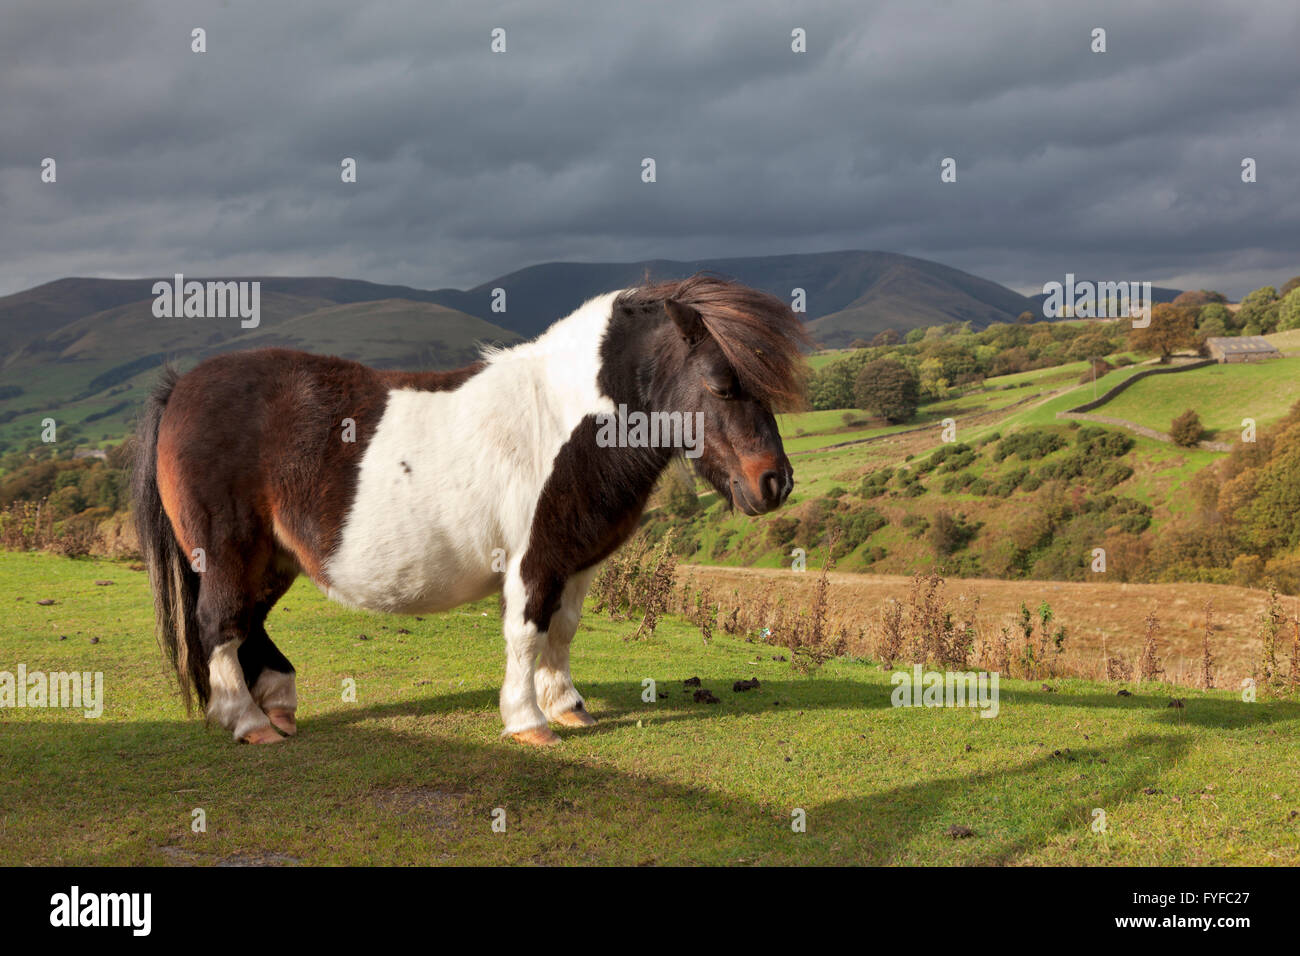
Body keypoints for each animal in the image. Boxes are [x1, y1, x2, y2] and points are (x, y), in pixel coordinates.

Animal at [129, 277, 800, 749]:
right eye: (720, 384)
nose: (775, 483)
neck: (564, 418)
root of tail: (180, 388)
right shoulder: (534, 560)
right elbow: (527, 632)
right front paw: (529, 720)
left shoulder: (576, 560)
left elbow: (562, 630)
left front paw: (569, 707)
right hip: (227, 552)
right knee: (219, 624)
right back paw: (248, 723)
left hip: (273, 557)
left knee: (248, 624)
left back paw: (278, 706)